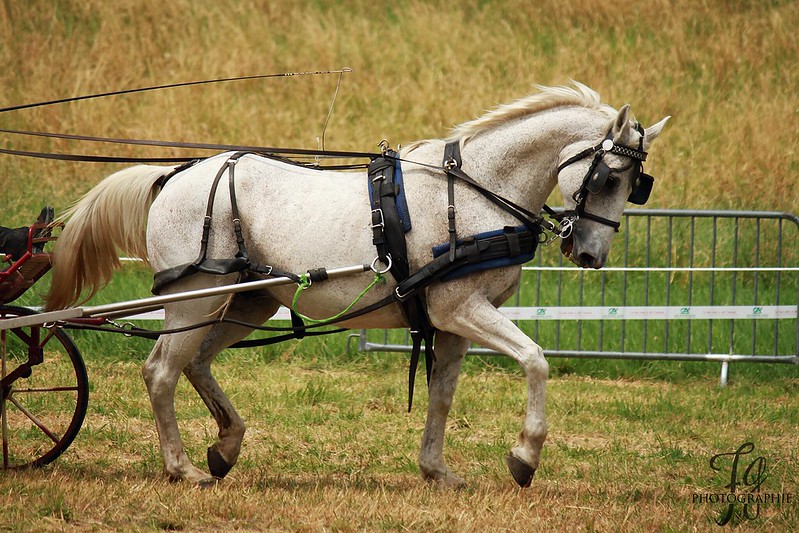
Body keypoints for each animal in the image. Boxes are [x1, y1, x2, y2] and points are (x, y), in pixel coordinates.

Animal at [45, 82, 668, 486]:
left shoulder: (452, 321)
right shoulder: (461, 308)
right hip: (193, 299)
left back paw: (225, 446)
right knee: (161, 372)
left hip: (247, 301)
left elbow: (442, 395)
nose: (589, 254)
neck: (475, 192)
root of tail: (175, 174)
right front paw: (525, 457)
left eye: (636, 182)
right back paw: (182, 468)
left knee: (196, 363)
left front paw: (437, 471)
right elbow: (536, 360)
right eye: (610, 176)